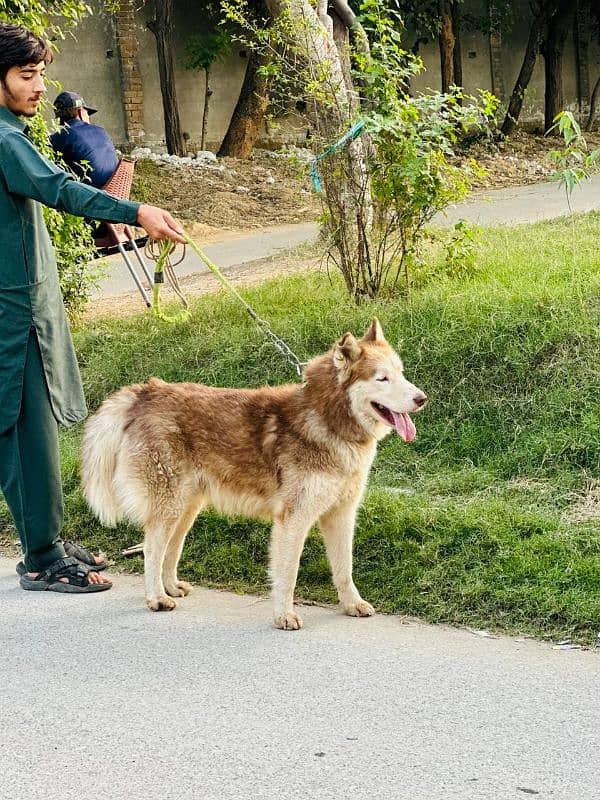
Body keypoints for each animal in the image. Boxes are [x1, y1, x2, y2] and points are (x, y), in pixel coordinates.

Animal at [81, 320, 426, 632]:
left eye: (401, 373)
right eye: (382, 378)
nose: (421, 398)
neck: (326, 420)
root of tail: (147, 391)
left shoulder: (341, 514)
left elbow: (344, 569)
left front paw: (352, 604)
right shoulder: (294, 518)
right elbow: (287, 573)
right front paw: (284, 615)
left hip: (185, 510)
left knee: (170, 549)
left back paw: (172, 587)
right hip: (169, 506)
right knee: (152, 549)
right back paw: (156, 598)